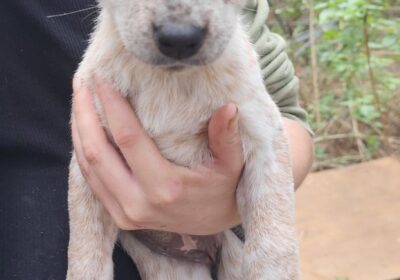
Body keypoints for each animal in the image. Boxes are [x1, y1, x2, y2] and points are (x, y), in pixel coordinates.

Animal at [67, 1, 300, 278]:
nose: (179, 38)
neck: (169, 82)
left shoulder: (263, 134)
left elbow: (273, 244)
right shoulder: (87, 161)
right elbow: (85, 256)